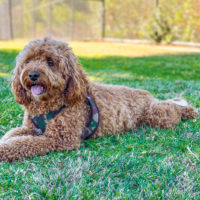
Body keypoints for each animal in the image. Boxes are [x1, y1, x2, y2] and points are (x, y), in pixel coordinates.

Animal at [0, 37, 198, 162]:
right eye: (28, 61)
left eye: (50, 62)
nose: (33, 74)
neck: (47, 105)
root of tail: (147, 94)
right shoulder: (30, 128)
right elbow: (11, 135)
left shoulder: (60, 138)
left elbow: (22, 143)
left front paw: (3, 151)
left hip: (157, 115)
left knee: (172, 109)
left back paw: (188, 110)